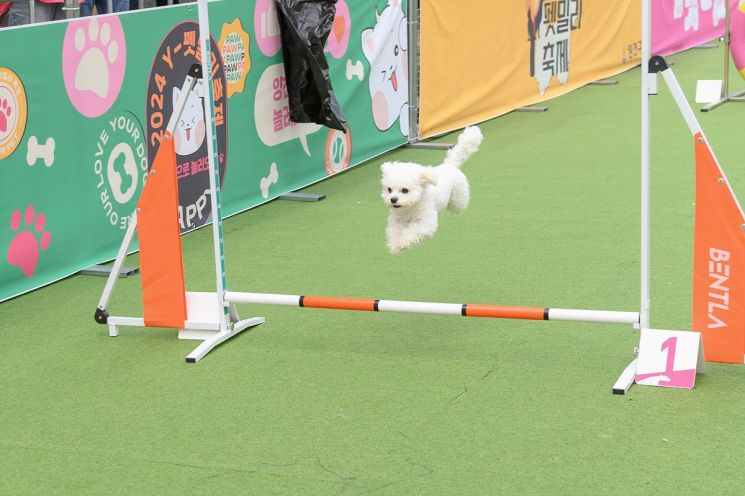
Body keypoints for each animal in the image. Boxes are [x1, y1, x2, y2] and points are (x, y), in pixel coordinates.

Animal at [378, 126, 482, 254]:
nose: (393, 199)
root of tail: (449, 165)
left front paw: (402, 242)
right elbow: (395, 231)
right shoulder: (396, 220)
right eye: (389, 189)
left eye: (405, 190)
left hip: (458, 198)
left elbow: (413, 231)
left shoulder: (426, 222)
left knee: (459, 206)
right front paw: (395, 244)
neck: (410, 208)